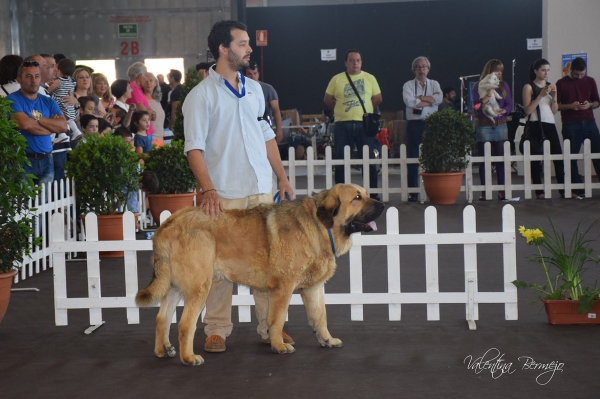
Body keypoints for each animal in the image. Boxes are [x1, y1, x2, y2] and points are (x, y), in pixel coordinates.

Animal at [136, 184, 384, 366]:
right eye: (357, 198)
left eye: (365, 194)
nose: (382, 205)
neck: (320, 225)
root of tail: (168, 224)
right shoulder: (283, 288)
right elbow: (277, 319)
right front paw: (279, 345)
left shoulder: (312, 288)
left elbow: (320, 316)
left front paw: (327, 340)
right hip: (199, 286)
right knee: (185, 324)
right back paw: (188, 357)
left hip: (175, 286)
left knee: (162, 317)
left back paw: (163, 350)